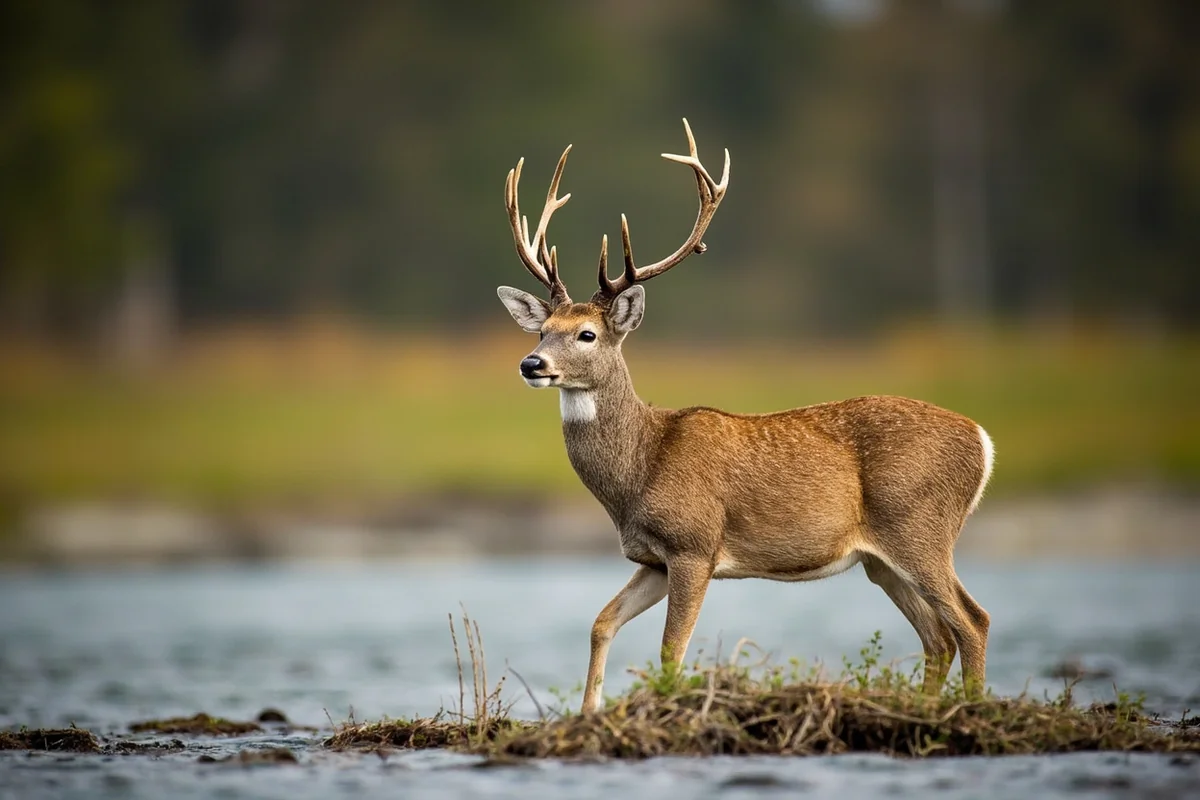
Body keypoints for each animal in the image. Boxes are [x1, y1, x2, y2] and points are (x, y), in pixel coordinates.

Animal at [496, 119, 994, 714]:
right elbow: (600, 623)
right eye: (542, 331)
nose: (531, 364)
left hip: (920, 524)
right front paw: (588, 712)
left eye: (587, 334)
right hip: (880, 558)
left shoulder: (694, 544)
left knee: (972, 621)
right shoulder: (652, 559)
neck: (639, 470)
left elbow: (671, 650)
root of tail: (983, 440)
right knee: (938, 636)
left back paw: (974, 708)